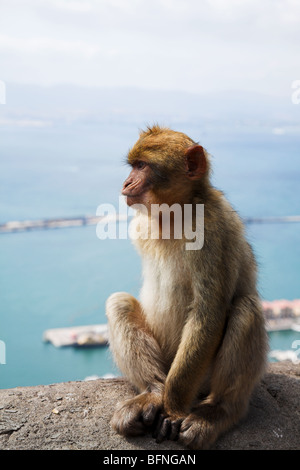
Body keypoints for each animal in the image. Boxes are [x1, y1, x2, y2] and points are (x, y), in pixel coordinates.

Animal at [105, 125, 268, 448]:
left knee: (245, 310)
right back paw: (154, 391)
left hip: (202, 378)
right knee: (119, 303)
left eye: (142, 166)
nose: (126, 182)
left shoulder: (213, 230)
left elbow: (209, 313)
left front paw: (173, 409)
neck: (175, 213)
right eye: (133, 166)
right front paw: (159, 400)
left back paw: (218, 411)